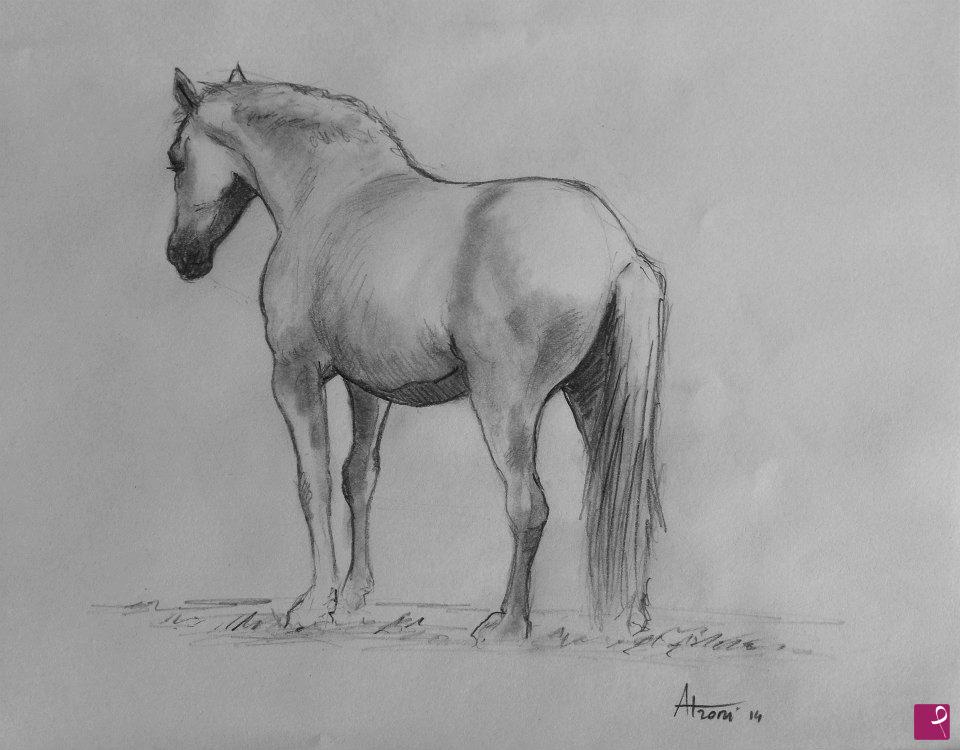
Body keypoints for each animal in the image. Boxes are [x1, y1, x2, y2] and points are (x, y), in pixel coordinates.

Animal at [164, 65, 668, 642]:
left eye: (175, 159)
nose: (182, 257)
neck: (333, 196)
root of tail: (616, 248)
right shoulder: (367, 387)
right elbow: (357, 478)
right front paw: (353, 600)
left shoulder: (295, 375)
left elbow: (313, 482)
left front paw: (313, 605)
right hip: (592, 395)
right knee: (626, 497)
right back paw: (629, 617)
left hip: (505, 407)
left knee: (529, 505)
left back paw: (507, 625)